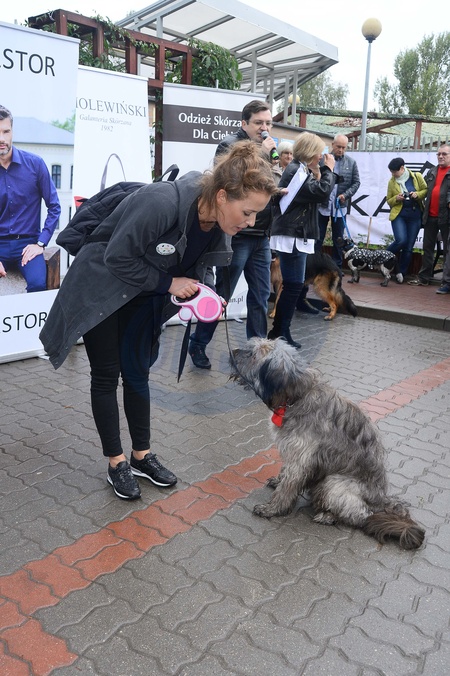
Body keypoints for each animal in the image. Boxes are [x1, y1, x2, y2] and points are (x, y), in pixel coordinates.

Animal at [230, 338, 425, 550]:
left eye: (253, 354)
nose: (232, 352)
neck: (297, 396)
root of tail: (381, 501)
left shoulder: (301, 457)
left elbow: (288, 486)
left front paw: (273, 508)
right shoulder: (293, 452)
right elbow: (285, 473)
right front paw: (277, 481)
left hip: (335, 483)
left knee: (360, 516)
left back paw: (328, 516)